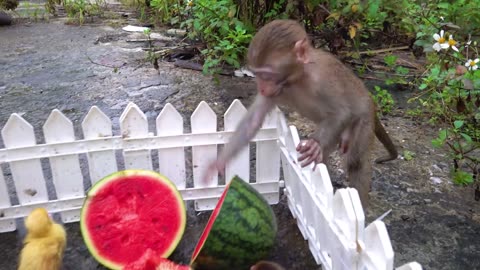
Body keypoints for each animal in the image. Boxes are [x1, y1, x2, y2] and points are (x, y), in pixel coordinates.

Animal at [205, 19, 398, 209]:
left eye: (266, 74)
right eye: (257, 74)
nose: (261, 87)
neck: (296, 78)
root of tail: (371, 102)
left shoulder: (322, 79)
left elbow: (341, 112)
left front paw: (314, 144)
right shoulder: (276, 91)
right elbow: (252, 122)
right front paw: (217, 164)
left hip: (363, 116)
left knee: (355, 160)